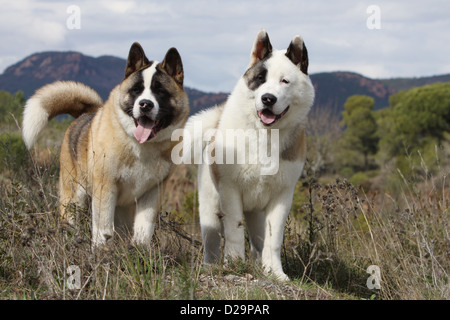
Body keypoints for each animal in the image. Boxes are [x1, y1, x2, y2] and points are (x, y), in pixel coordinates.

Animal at [22, 42, 188, 248]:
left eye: (160, 91)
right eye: (136, 90)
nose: (145, 104)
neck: (141, 146)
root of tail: (87, 113)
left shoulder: (151, 194)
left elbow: (143, 230)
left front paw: (140, 252)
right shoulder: (105, 188)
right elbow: (103, 230)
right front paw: (101, 253)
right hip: (74, 199)